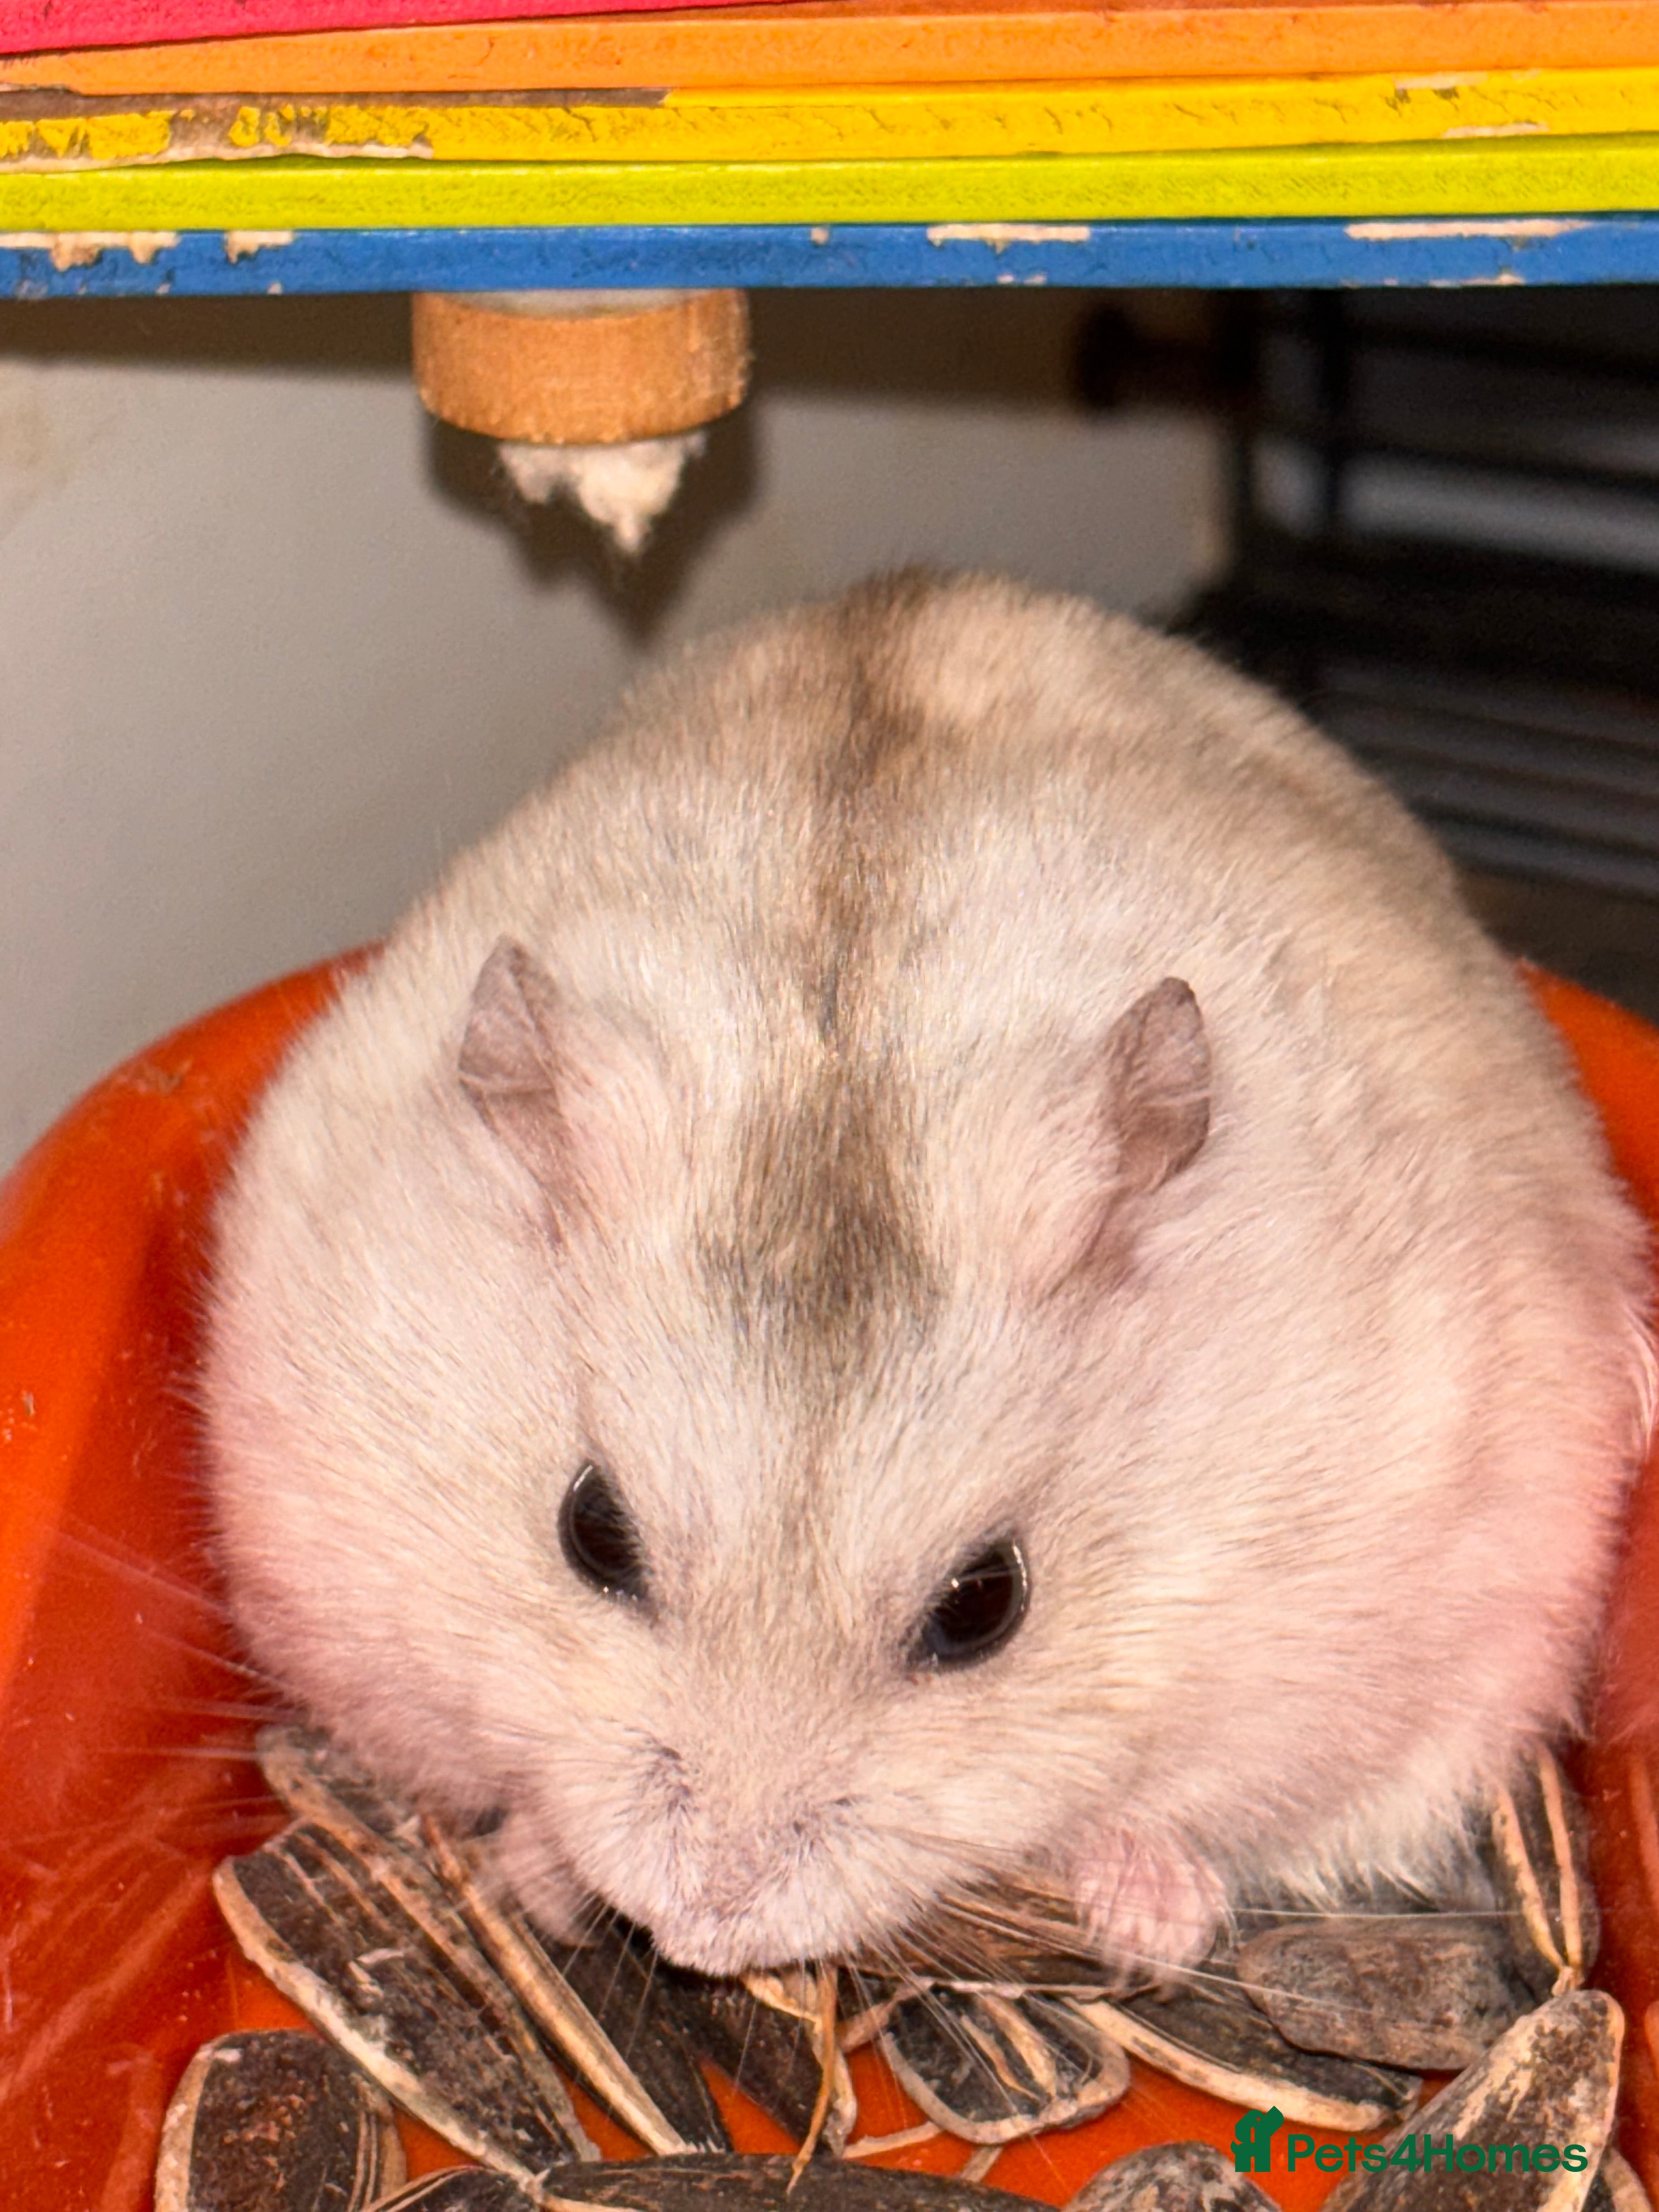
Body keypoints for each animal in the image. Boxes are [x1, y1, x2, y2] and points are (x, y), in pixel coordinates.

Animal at [203, 571, 1656, 1984]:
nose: (705, 1929)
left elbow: (1197, 1808)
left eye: (984, 1608)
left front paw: (1145, 1917)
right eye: (592, 1532)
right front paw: (549, 1876)